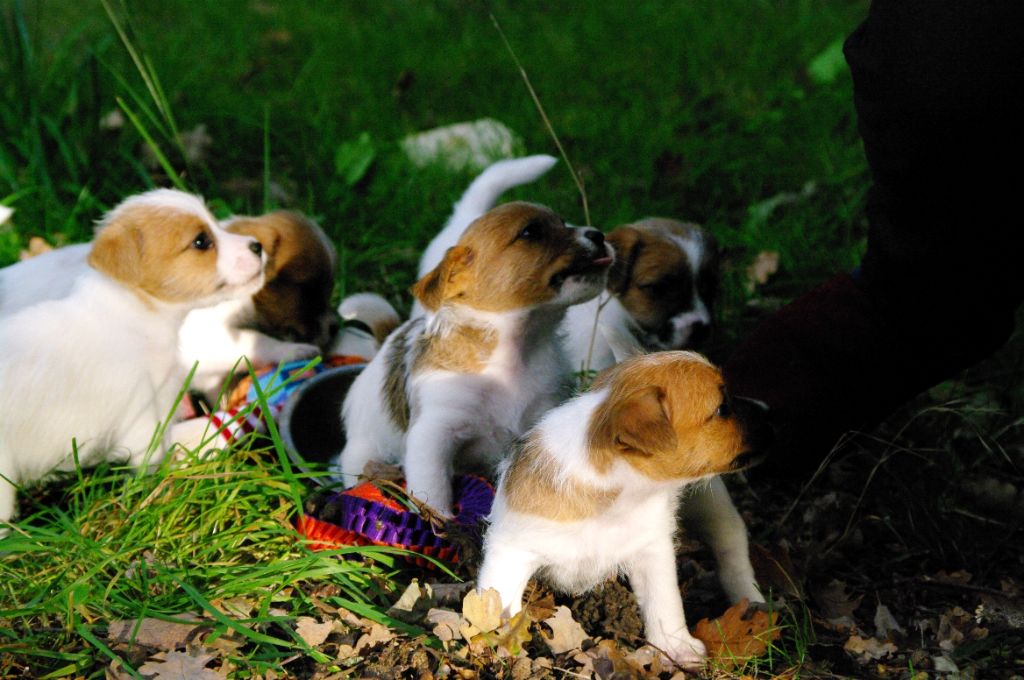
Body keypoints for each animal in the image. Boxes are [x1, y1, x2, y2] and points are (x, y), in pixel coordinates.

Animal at [331, 201, 610, 516]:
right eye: (531, 232)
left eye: (562, 222)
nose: (599, 234)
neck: (517, 350)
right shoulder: (433, 436)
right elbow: (434, 492)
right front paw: (442, 523)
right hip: (364, 450)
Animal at [477, 350, 770, 667]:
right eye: (722, 408)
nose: (769, 410)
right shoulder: (511, 550)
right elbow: (500, 600)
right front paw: (498, 641)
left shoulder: (651, 551)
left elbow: (664, 602)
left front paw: (676, 645)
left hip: (713, 506)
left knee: (731, 548)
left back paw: (751, 601)